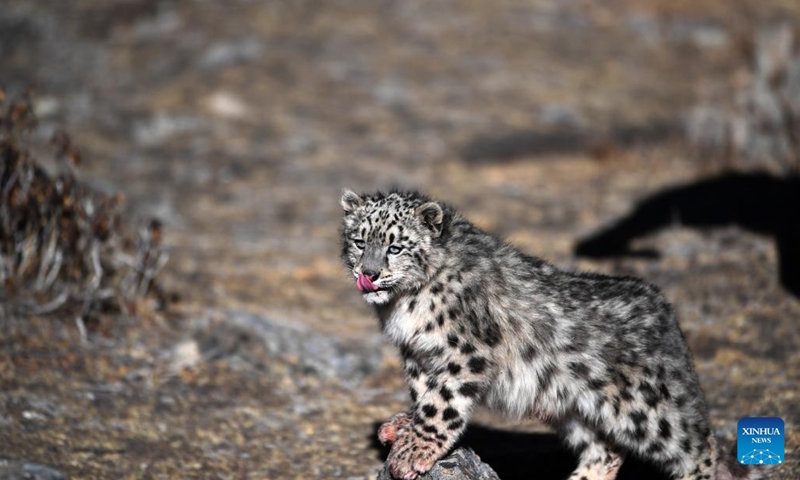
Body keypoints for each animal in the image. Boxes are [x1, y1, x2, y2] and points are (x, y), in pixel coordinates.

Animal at [339, 189, 757, 480]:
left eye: (395, 247)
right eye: (360, 241)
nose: (369, 273)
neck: (404, 304)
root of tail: (667, 312)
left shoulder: (467, 352)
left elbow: (441, 403)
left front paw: (412, 452)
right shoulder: (418, 354)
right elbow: (423, 394)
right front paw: (402, 428)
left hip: (646, 409)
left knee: (699, 446)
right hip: (576, 410)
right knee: (606, 451)